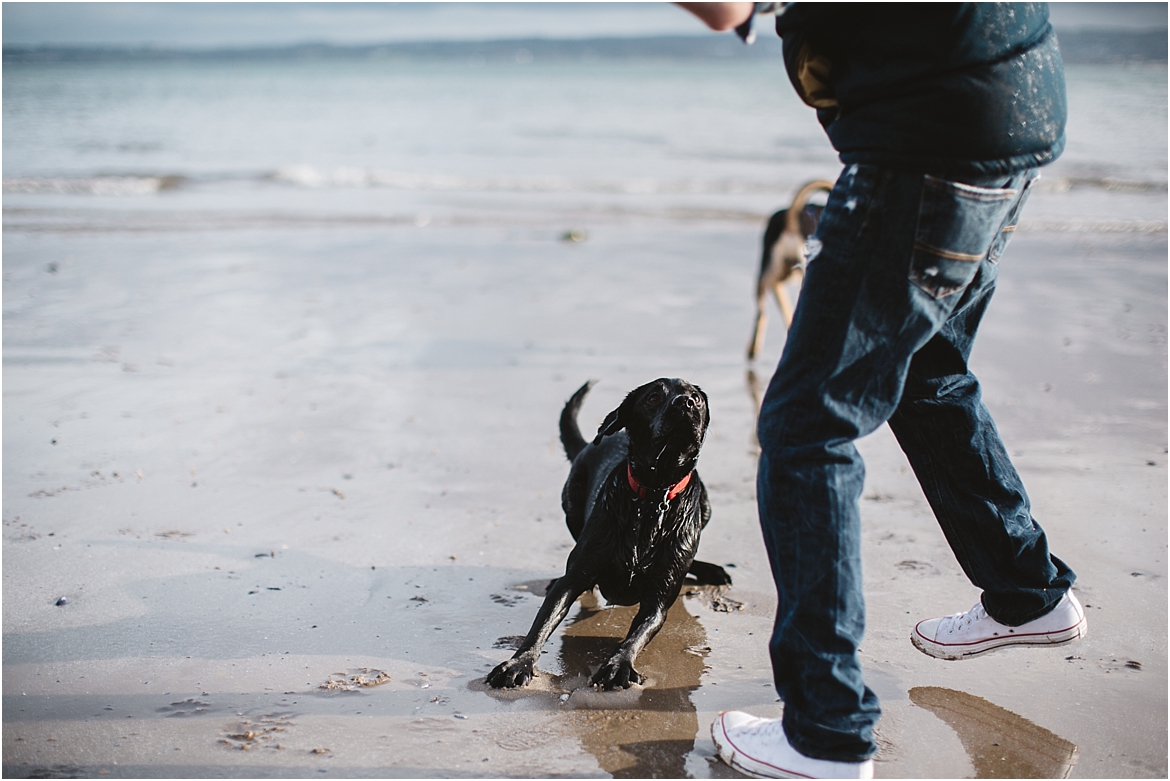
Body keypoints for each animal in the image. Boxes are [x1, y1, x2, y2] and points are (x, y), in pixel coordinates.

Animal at [486, 378, 730, 687]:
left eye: (696, 398)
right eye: (653, 398)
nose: (685, 403)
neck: (654, 494)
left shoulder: (658, 599)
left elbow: (636, 635)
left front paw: (618, 664)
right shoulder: (573, 579)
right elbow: (543, 622)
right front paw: (518, 663)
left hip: (705, 508)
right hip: (572, 504)